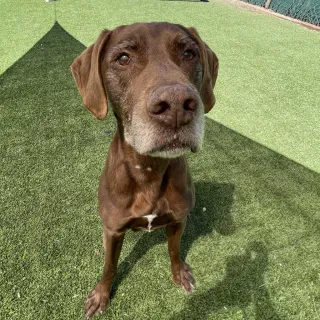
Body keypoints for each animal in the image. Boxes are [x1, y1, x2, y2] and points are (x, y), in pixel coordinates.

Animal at [71, 21, 219, 318]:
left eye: (189, 53)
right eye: (123, 58)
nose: (176, 105)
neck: (150, 169)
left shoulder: (178, 220)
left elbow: (175, 251)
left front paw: (179, 273)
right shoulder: (113, 230)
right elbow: (109, 266)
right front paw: (101, 295)